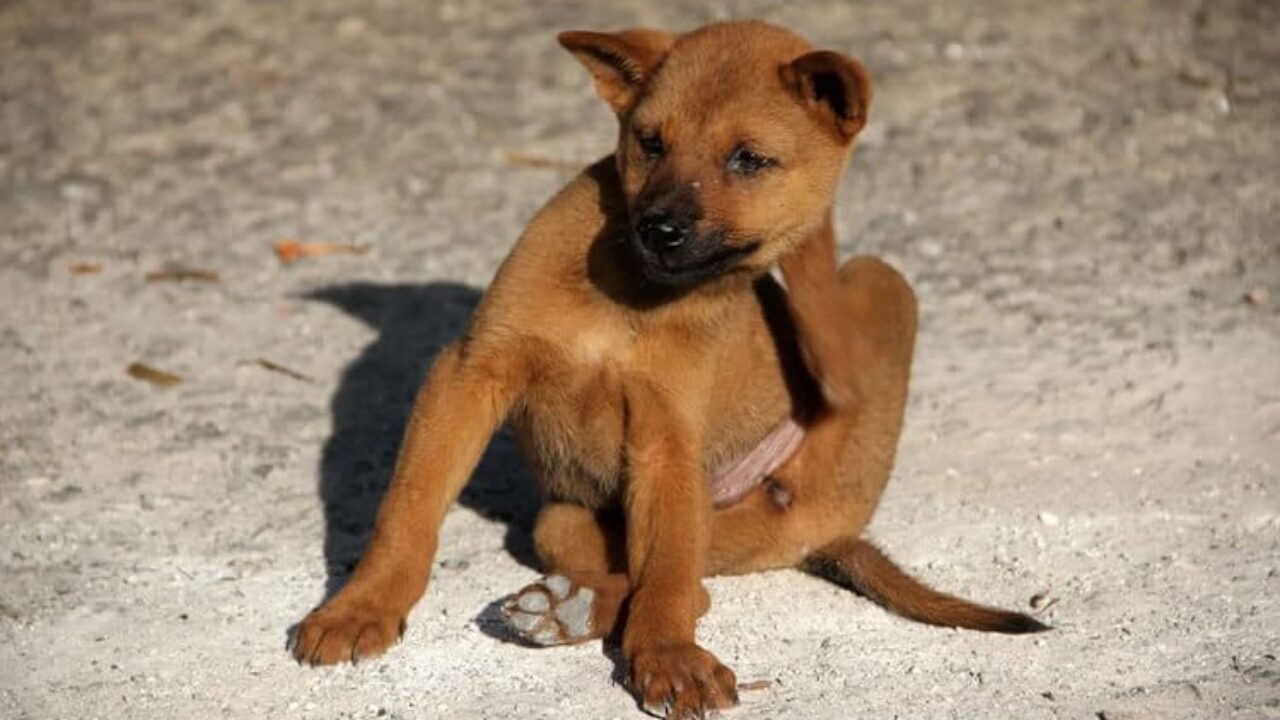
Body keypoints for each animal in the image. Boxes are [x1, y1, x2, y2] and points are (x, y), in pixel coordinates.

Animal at [293, 19, 1049, 712]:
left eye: (748, 159)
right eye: (650, 143)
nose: (659, 228)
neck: (632, 296)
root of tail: (834, 529)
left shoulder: (666, 440)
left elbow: (666, 578)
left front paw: (667, 658)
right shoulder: (469, 373)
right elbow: (408, 510)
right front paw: (361, 607)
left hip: (873, 292)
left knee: (692, 581)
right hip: (564, 520)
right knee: (671, 576)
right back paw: (563, 605)